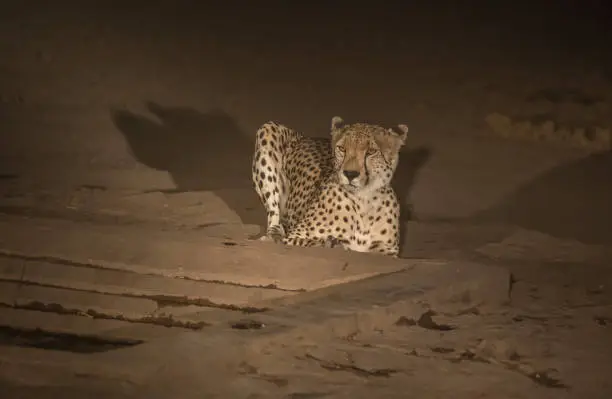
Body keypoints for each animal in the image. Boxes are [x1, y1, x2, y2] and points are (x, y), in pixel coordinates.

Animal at [251, 117, 408, 258]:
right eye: (342, 148)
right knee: (274, 216)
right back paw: (273, 236)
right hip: (268, 129)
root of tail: (306, 137)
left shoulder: (388, 253)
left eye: (371, 151)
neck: (364, 200)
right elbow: (310, 242)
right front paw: (332, 244)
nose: (350, 174)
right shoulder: (294, 237)